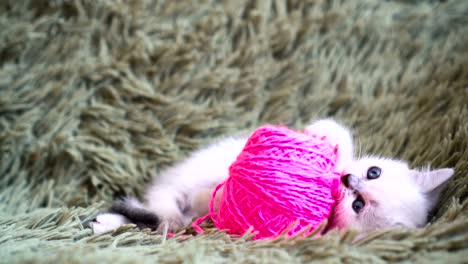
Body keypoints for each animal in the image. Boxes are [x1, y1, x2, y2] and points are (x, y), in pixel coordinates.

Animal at [90, 118, 454, 234]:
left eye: (358, 206)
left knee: (158, 217)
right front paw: (323, 134)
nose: (349, 181)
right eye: (373, 171)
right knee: (162, 204)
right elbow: (340, 135)